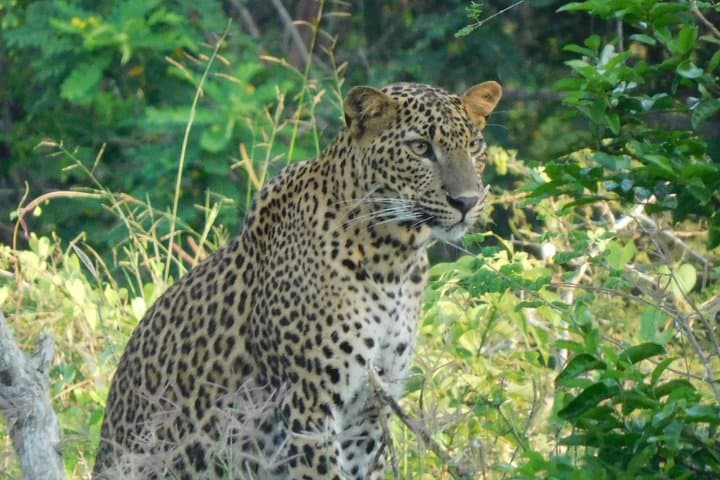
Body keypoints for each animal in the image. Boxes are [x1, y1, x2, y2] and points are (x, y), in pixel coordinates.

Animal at [93, 79, 502, 480]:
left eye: (474, 147)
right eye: (420, 148)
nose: (466, 201)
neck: (393, 260)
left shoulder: (371, 409)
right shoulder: (308, 404)